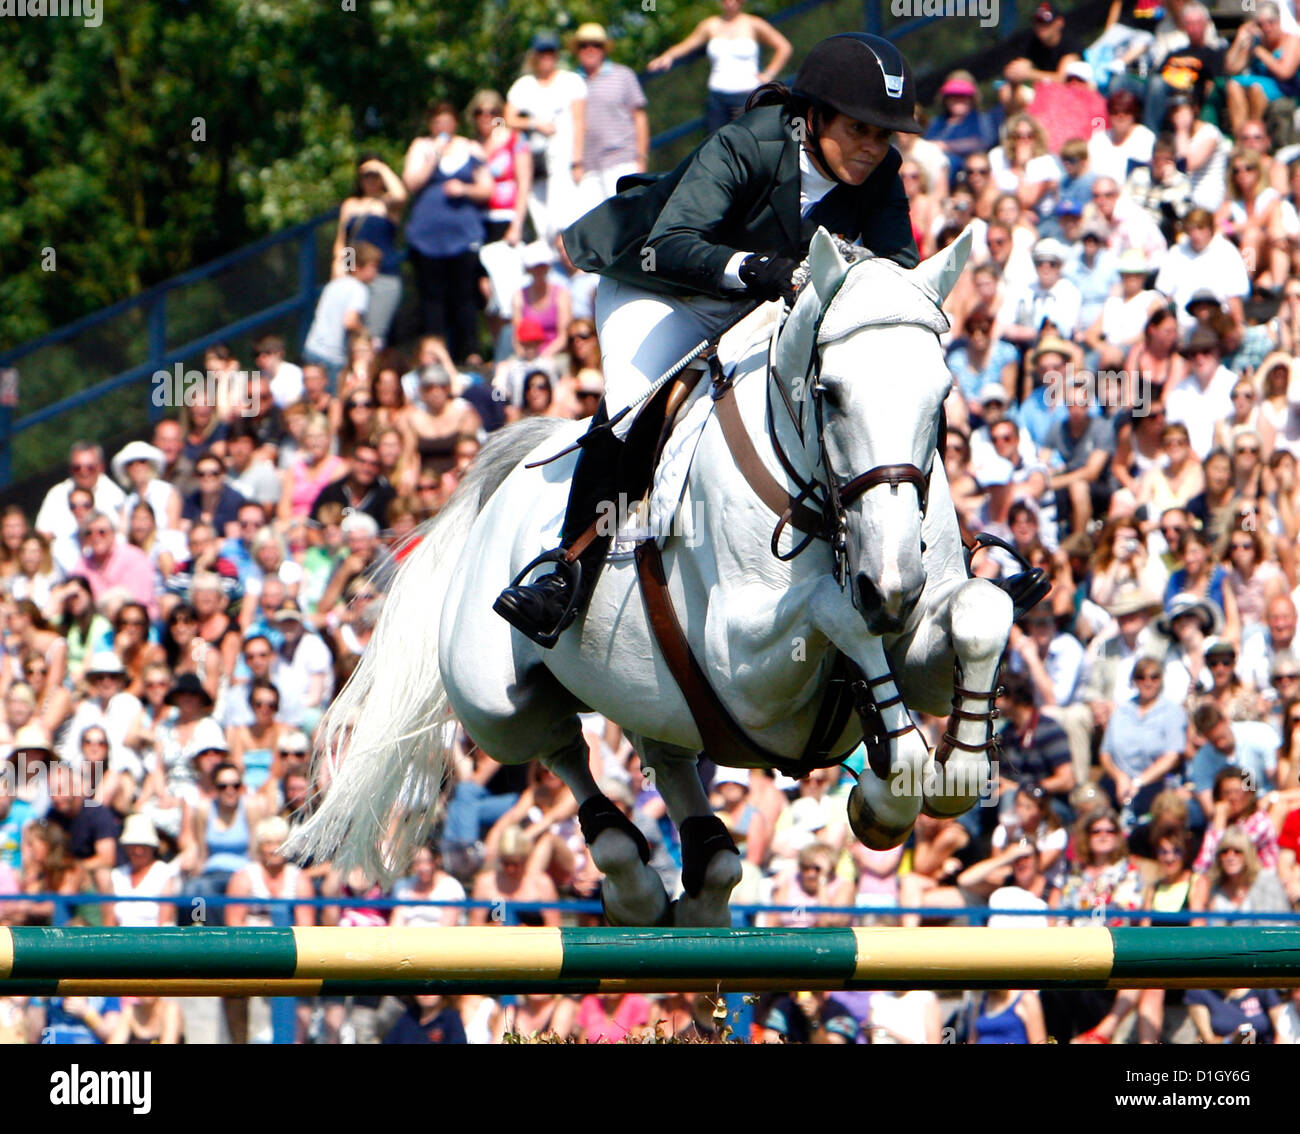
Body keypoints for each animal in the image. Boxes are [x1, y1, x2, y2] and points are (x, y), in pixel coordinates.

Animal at [289, 227, 1008, 931]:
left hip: (650, 695)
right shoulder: (745, 667)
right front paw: (894, 783)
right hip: (495, 704)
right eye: (828, 394)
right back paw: (633, 883)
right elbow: (836, 611)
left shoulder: (916, 640)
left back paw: (703, 882)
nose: (891, 585)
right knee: (561, 747)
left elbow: (981, 609)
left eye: (942, 397)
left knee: (665, 757)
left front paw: (955, 769)